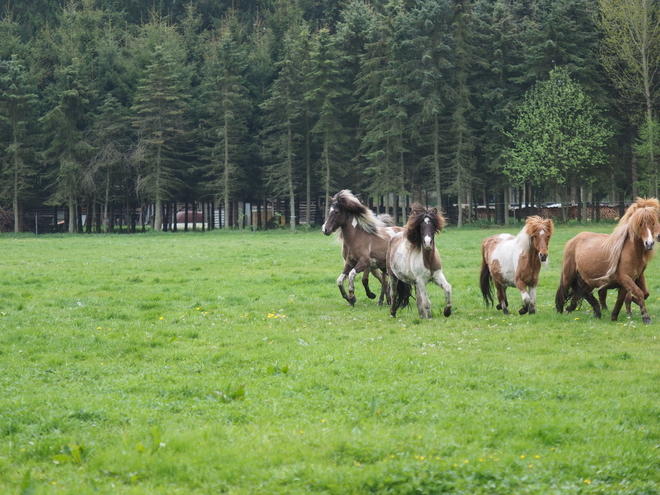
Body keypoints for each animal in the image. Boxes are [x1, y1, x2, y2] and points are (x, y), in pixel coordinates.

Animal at [556, 198, 660, 326]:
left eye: (653, 222)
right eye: (639, 224)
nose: (649, 243)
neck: (630, 252)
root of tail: (573, 240)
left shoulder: (633, 279)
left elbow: (625, 299)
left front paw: (614, 317)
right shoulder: (625, 278)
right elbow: (639, 294)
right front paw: (646, 317)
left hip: (588, 280)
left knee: (583, 292)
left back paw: (594, 311)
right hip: (569, 275)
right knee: (564, 291)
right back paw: (560, 311)